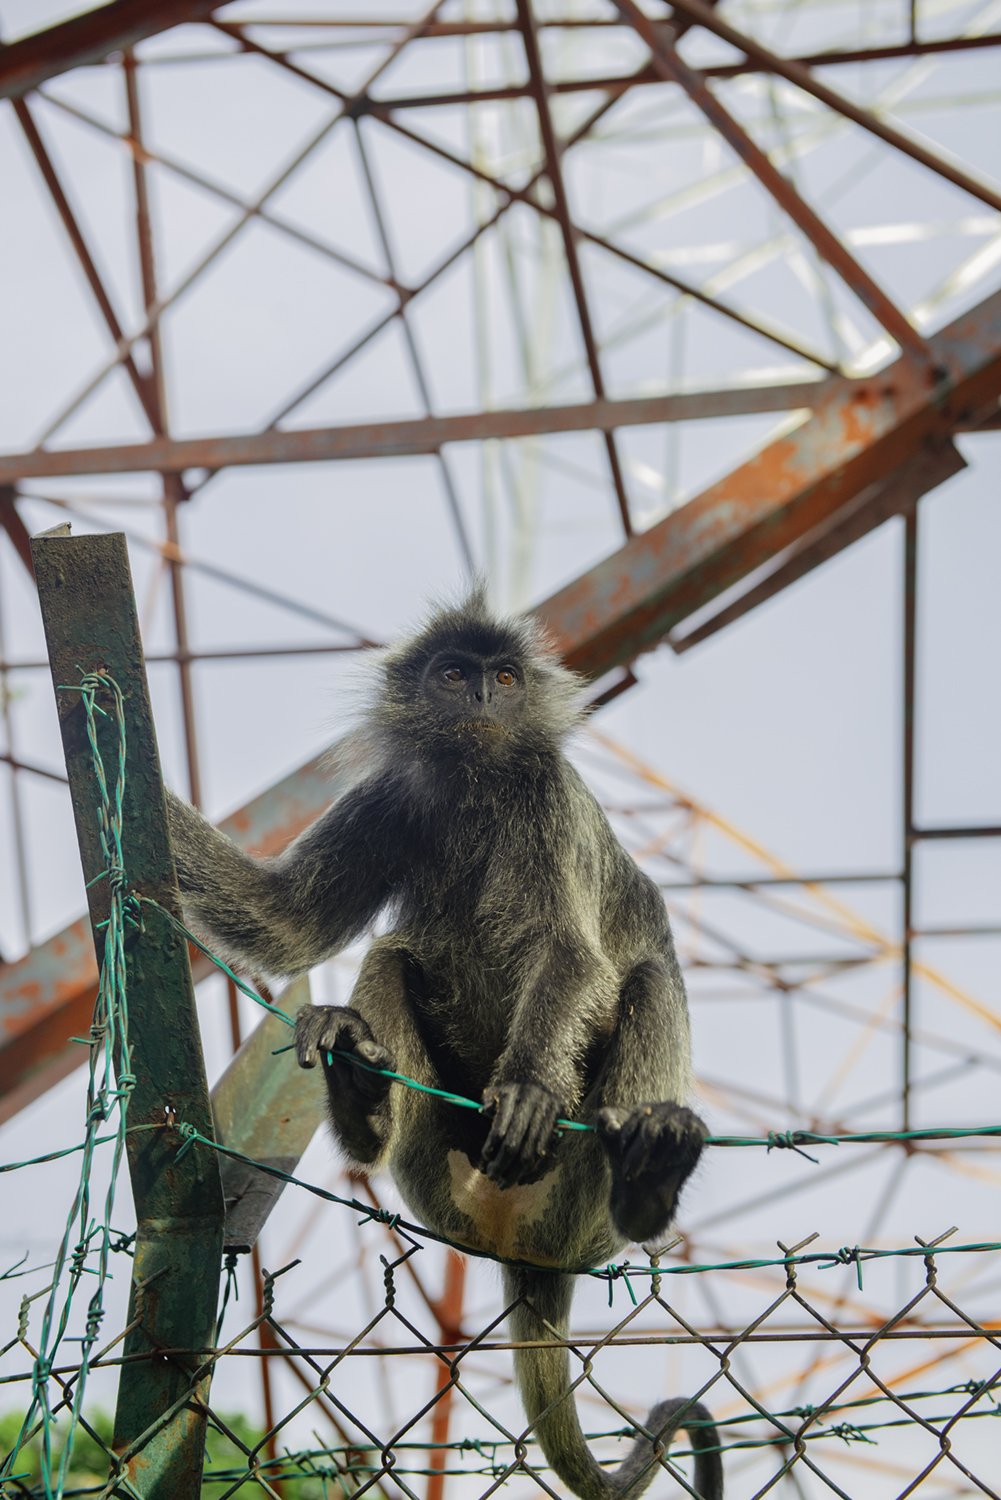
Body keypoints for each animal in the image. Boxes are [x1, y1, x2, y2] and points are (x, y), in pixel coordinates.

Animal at [168, 594, 723, 1500]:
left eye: (505, 677)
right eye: (454, 674)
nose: (482, 700)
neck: (477, 785)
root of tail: (525, 1252)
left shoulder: (547, 797)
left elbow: (570, 954)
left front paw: (528, 1090)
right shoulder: (394, 797)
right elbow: (282, 920)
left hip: (580, 1200)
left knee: (644, 978)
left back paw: (645, 1185)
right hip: (433, 1164)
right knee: (391, 956)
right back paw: (361, 1101)